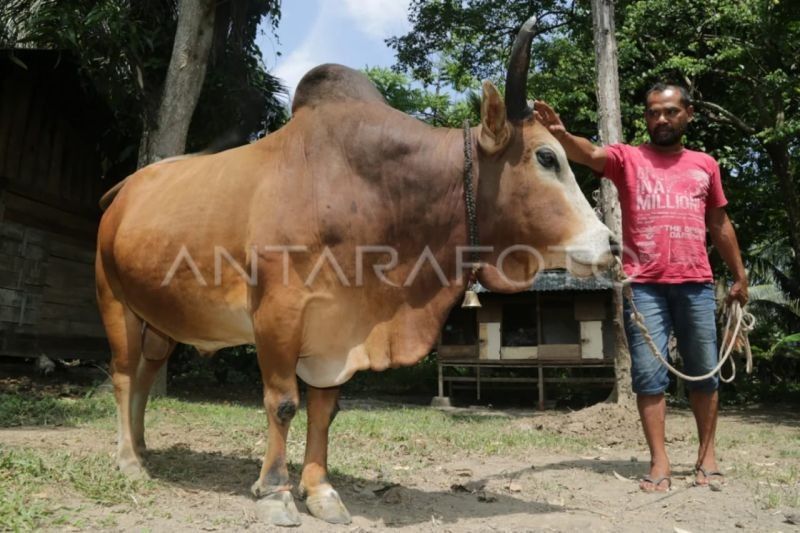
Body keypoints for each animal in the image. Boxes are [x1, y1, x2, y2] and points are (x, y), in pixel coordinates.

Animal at [97, 18, 616, 524]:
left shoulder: (338, 328)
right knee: (122, 375)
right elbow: (282, 403)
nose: (609, 243)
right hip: (115, 301)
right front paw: (275, 492)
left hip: (159, 320)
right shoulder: (277, 315)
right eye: (546, 157)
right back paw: (127, 461)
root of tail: (124, 190)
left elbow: (324, 410)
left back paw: (141, 446)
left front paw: (320, 492)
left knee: (146, 371)